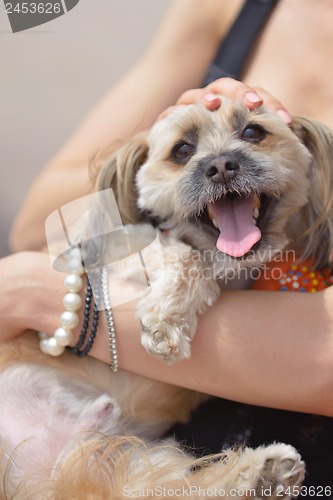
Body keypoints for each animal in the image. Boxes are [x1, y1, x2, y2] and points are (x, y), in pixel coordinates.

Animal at [1, 97, 332, 496]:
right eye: (182, 150)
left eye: (254, 132)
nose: (221, 166)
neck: (231, 271)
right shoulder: (112, 252)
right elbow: (180, 253)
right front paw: (164, 323)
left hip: (135, 459)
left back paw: (265, 474)